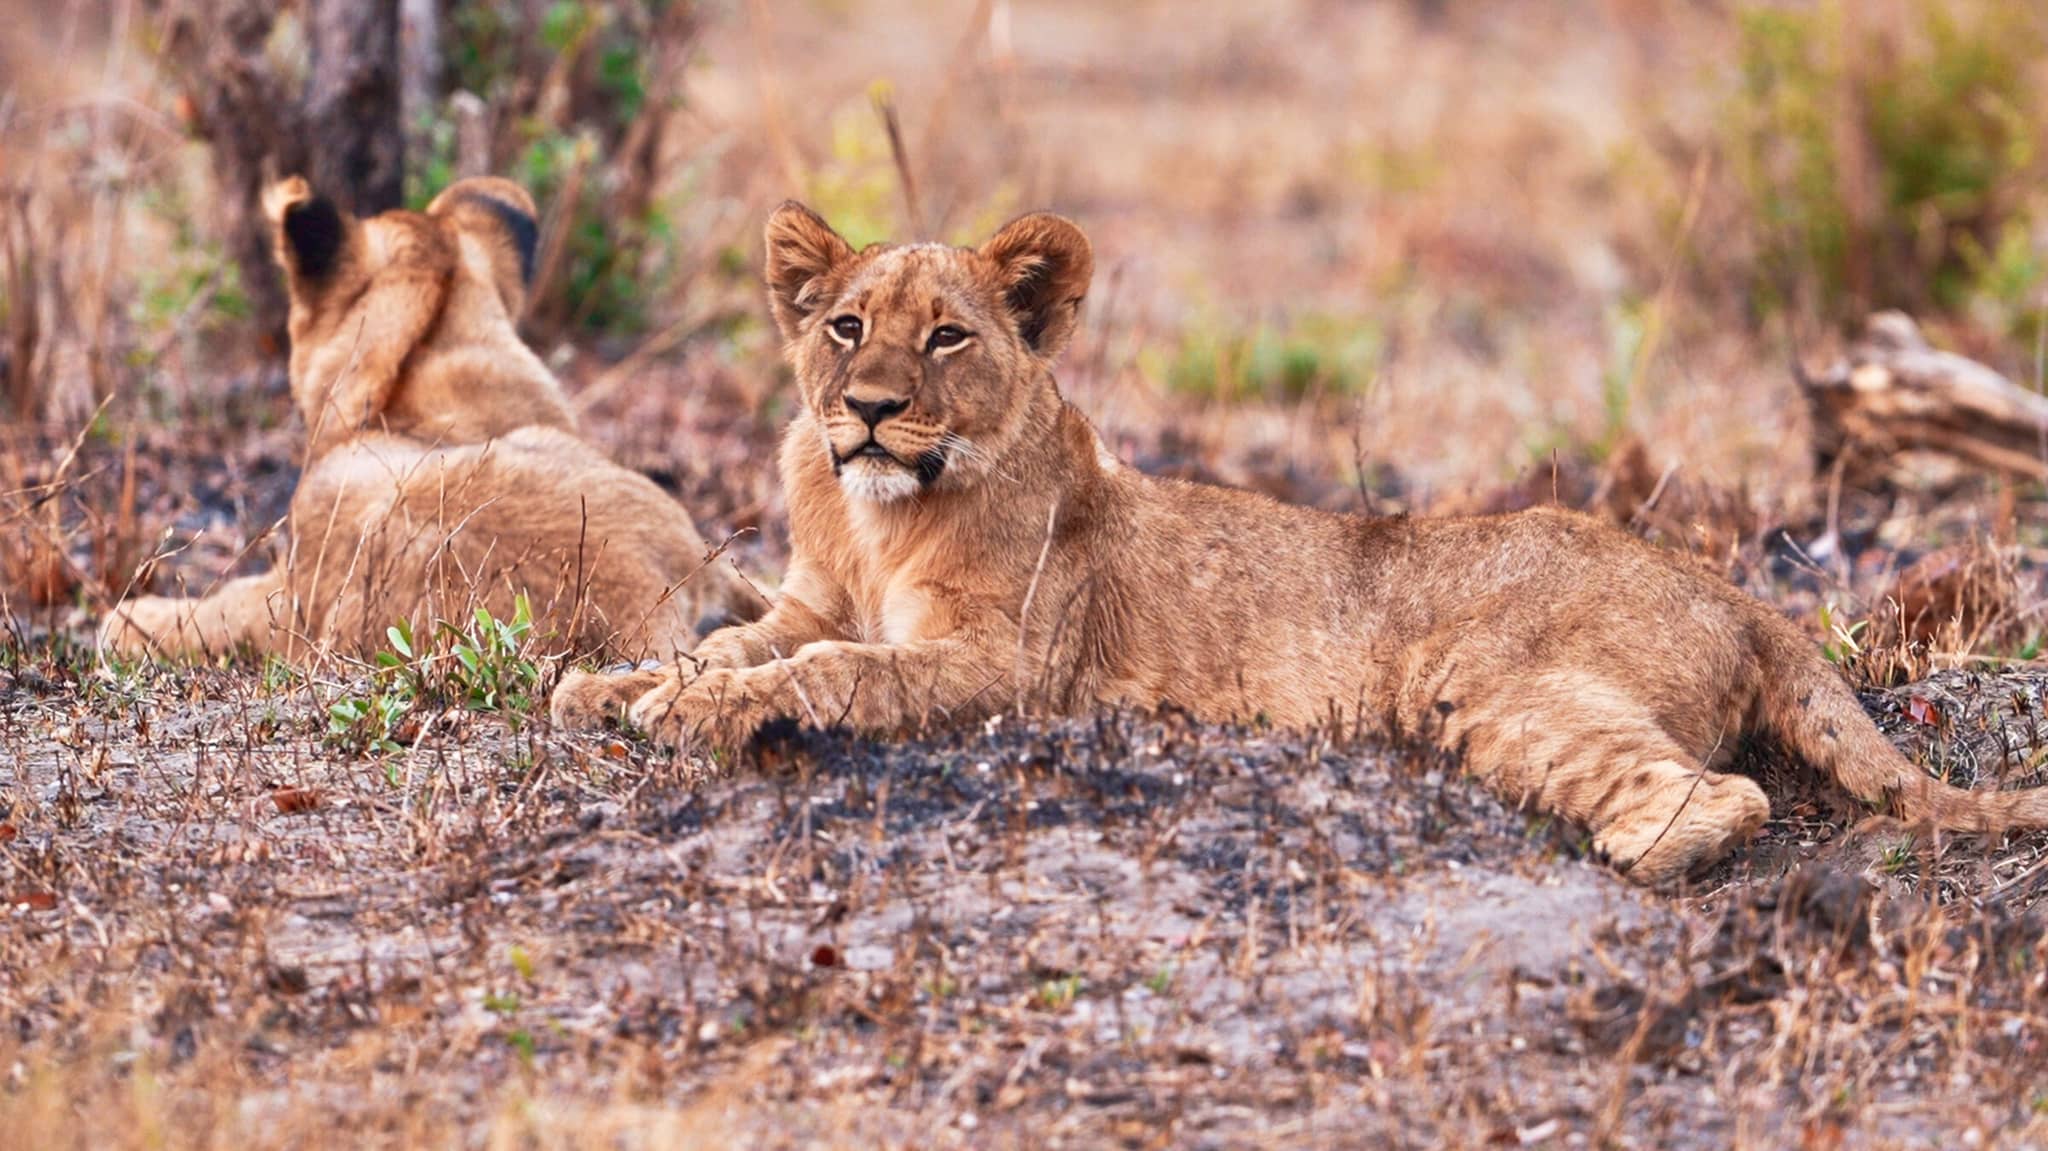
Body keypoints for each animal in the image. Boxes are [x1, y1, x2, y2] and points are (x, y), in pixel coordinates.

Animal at [551, 201, 2048, 886]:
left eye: (949, 338)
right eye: (846, 325)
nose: (863, 410)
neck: (876, 516)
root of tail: (1737, 592)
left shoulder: (1004, 664)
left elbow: (826, 676)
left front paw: (693, 711)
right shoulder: (812, 596)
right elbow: (733, 639)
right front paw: (609, 683)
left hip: (1499, 690)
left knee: (1722, 791)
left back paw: (1643, 847)